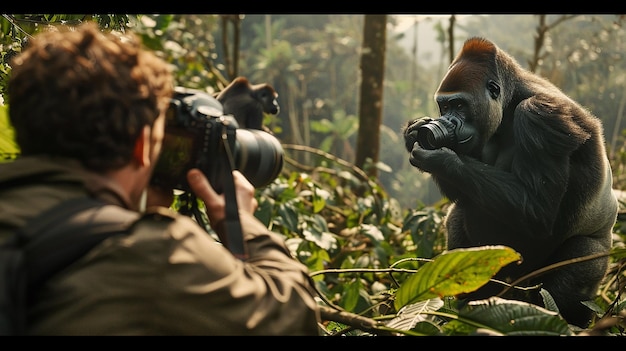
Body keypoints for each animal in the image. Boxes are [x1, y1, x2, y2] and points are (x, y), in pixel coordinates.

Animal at [404, 37, 616, 328]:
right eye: (444, 107)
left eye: (459, 105)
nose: (446, 120)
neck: (511, 100)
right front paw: (414, 131)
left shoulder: (541, 116)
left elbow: (536, 210)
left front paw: (440, 159)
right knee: (458, 218)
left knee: (577, 265)